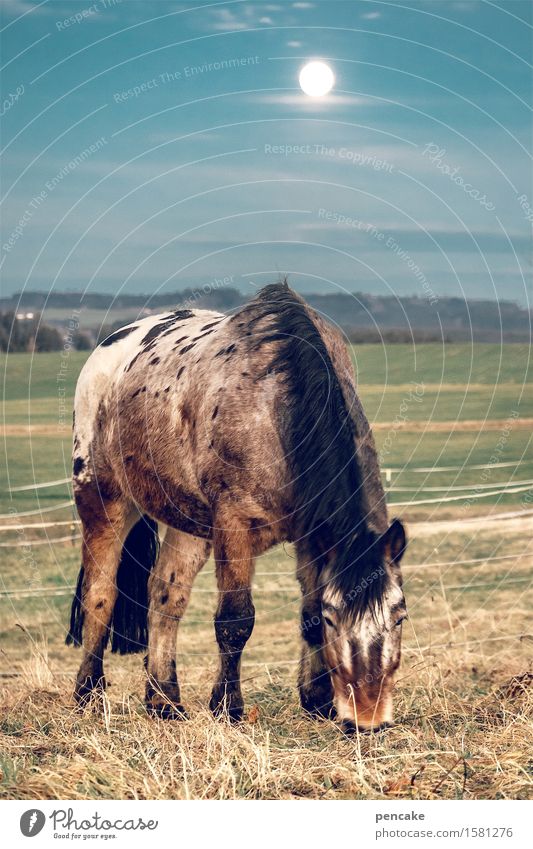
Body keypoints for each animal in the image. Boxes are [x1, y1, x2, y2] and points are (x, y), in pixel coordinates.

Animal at [67, 282, 408, 732]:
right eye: (337, 617)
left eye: (400, 616)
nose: (367, 717)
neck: (277, 404)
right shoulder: (234, 525)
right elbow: (235, 621)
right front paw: (227, 708)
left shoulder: (311, 535)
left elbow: (307, 614)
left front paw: (316, 700)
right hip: (103, 498)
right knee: (100, 596)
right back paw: (88, 695)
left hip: (190, 524)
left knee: (166, 597)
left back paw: (164, 702)